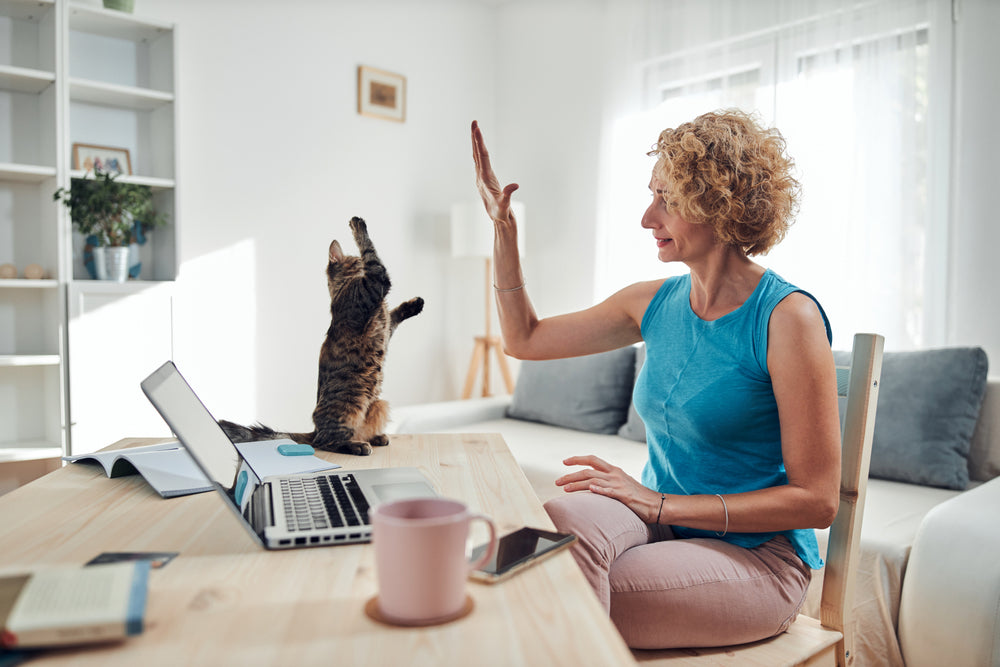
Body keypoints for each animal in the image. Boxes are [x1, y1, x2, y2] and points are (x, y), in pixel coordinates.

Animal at [219, 217, 422, 456]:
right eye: (356, 261)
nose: (358, 263)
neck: (343, 287)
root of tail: (314, 430)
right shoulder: (374, 283)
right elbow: (371, 251)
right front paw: (358, 225)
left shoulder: (385, 327)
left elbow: (396, 313)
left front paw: (415, 304)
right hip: (352, 404)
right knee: (326, 442)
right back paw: (357, 445)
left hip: (379, 404)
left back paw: (375, 438)